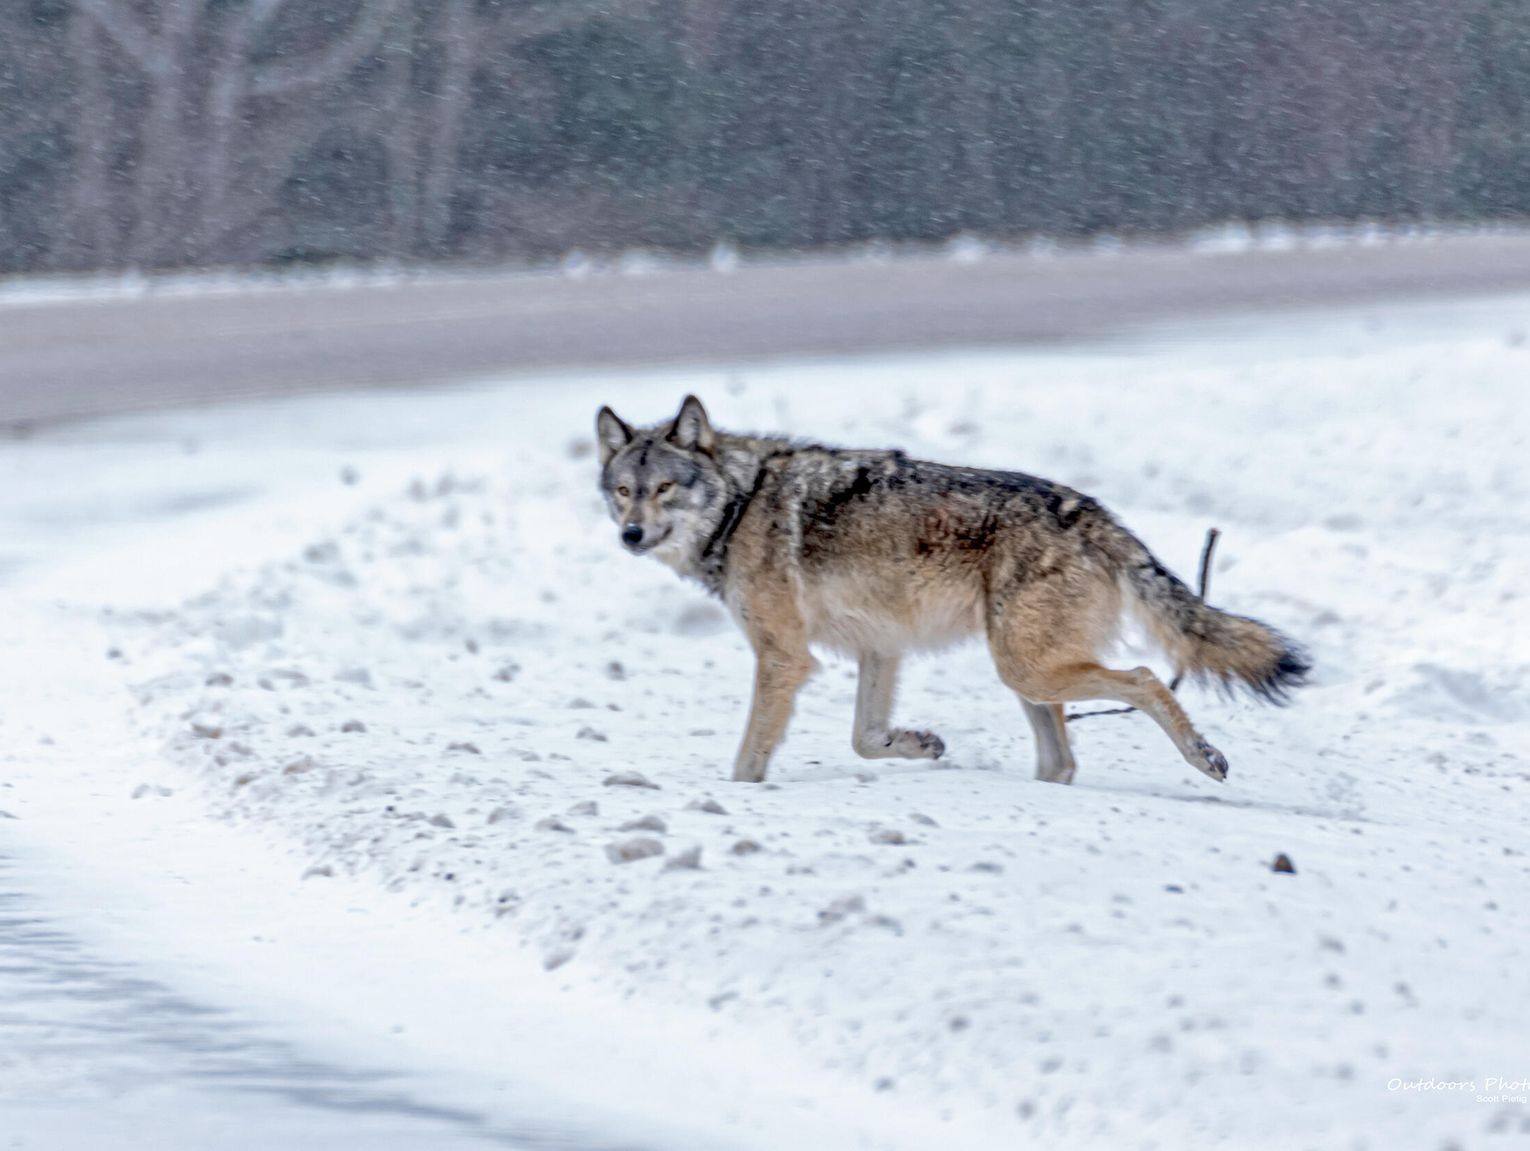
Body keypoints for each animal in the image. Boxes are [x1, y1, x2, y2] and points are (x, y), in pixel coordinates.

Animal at [595, 395, 1309, 785]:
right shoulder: (880, 648)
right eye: (624, 490)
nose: (630, 535)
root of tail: (1092, 512)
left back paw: (1203, 755)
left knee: (1145, 678)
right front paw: (920, 744)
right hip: (1026, 676)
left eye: (665, 489)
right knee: (1062, 760)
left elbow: (750, 757)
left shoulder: (784, 659)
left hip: (1026, 667)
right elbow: (865, 738)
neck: (741, 505)